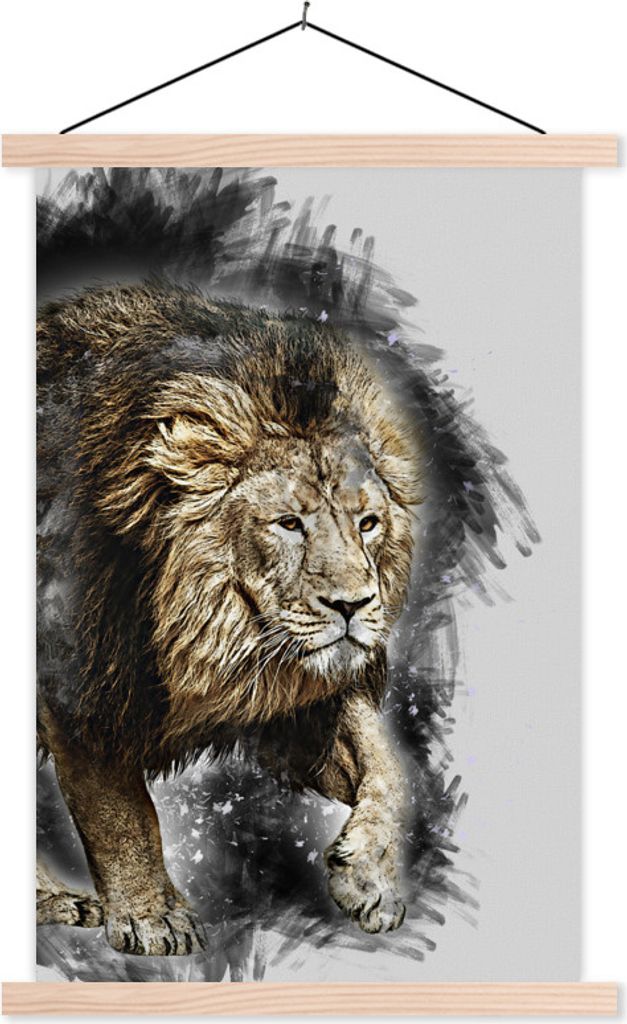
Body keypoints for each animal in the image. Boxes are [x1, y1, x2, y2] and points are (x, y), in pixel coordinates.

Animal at [36, 282, 423, 955]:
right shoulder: (81, 678)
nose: (353, 606)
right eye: (288, 523)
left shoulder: (297, 700)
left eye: (368, 522)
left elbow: (389, 766)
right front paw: (152, 917)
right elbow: (119, 809)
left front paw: (368, 879)